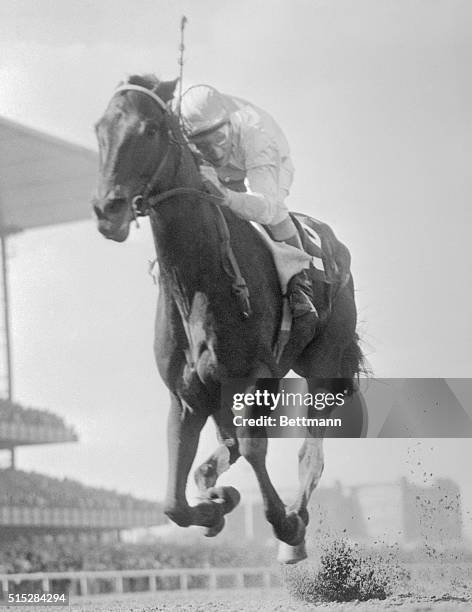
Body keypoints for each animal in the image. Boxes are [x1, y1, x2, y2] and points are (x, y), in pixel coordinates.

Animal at [93, 75, 366, 564]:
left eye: (149, 129)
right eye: (99, 130)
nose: (109, 210)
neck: (200, 282)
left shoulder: (260, 375)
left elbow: (257, 449)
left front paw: (285, 524)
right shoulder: (186, 396)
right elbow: (173, 503)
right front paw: (217, 505)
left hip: (324, 361)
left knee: (310, 452)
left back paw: (294, 531)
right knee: (232, 446)